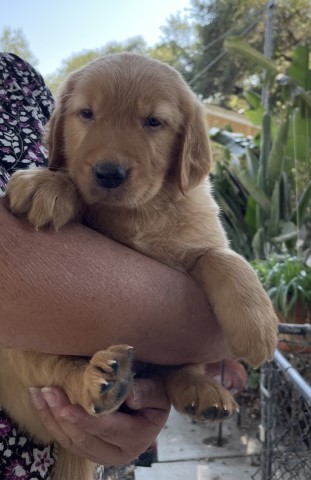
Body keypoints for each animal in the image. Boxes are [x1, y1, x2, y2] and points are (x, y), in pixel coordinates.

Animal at [4, 54, 278, 480]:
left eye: (153, 121)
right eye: (86, 113)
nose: (108, 174)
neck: (143, 210)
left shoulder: (201, 239)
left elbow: (224, 258)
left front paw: (258, 326)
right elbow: (72, 187)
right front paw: (48, 184)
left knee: (175, 371)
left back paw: (201, 390)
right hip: (24, 343)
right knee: (57, 374)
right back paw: (99, 379)